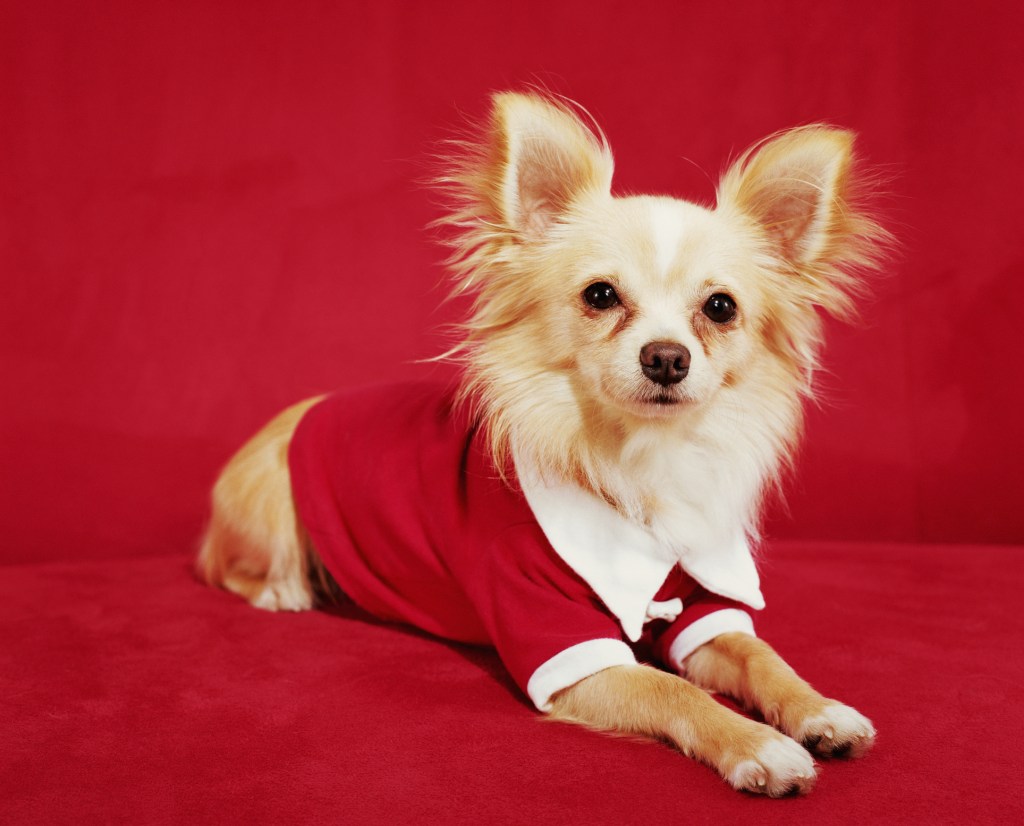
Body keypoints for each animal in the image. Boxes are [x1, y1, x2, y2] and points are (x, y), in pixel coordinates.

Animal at [195, 93, 884, 798]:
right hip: (272, 501)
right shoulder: (569, 650)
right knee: (230, 566)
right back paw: (283, 591)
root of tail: (301, 409)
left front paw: (820, 709)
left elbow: (761, 657)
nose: (667, 357)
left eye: (721, 308)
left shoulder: (705, 611)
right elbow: (675, 693)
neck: (639, 462)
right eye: (600, 295)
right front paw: (758, 746)